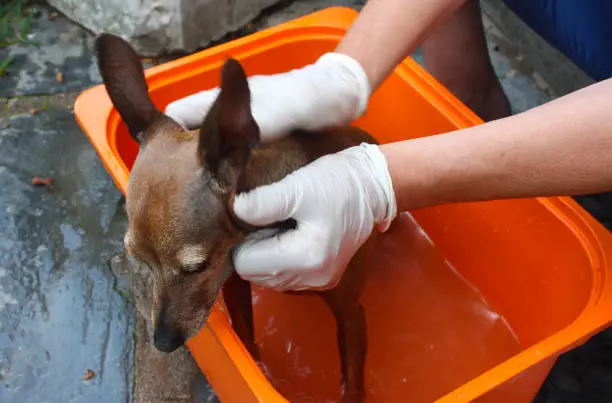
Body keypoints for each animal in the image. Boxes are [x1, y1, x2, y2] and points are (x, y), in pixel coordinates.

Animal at [96, 33, 376, 402]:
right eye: (138, 259)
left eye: (196, 267)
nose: (164, 342)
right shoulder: (234, 285)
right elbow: (247, 339)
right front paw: (258, 367)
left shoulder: (351, 312)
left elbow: (353, 382)